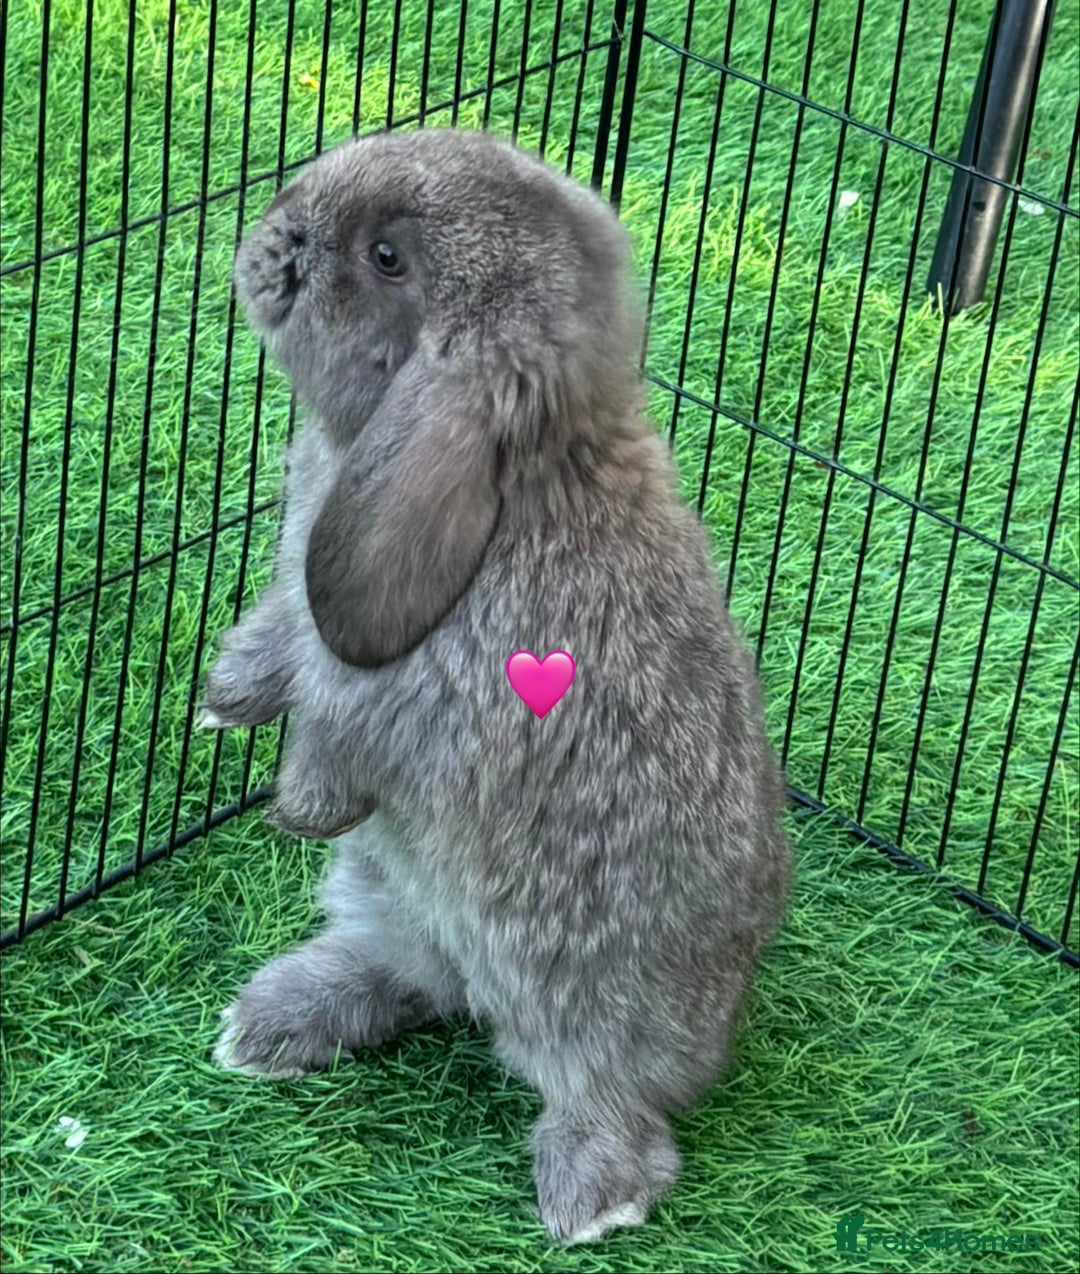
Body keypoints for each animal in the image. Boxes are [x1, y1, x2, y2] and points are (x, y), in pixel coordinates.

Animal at [201, 127, 791, 1244]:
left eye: (387, 257)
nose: (272, 233)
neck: (531, 464)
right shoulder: (297, 604)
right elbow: (273, 647)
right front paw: (219, 701)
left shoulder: (403, 690)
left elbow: (341, 735)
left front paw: (295, 809)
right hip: (385, 896)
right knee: (410, 980)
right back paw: (268, 1024)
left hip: (583, 1001)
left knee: (604, 1096)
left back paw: (590, 1202)